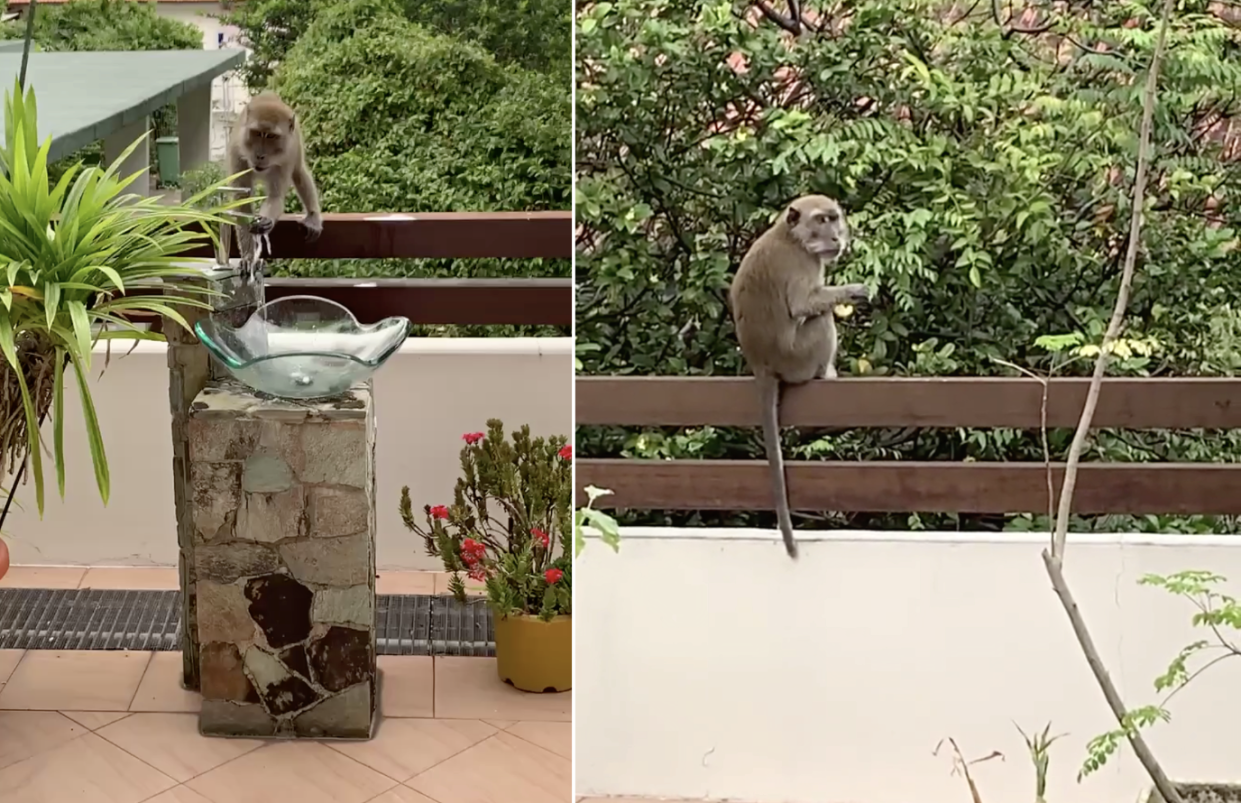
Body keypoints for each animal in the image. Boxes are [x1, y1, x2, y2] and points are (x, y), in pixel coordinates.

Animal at [228, 89, 322, 250]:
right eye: (256, 133)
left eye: (271, 136)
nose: (260, 155)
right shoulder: (237, 153)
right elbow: (242, 201)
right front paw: (249, 252)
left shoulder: (286, 159)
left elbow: (275, 197)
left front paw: (266, 219)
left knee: (299, 172)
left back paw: (313, 216)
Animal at [729, 194, 868, 558]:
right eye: (822, 220)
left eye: (834, 218)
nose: (836, 237)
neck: (792, 237)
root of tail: (761, 363)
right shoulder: (804, 263)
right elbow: (804, 305)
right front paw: (852, 290)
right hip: (799, 358)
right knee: (822, 319)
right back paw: (825, 375)